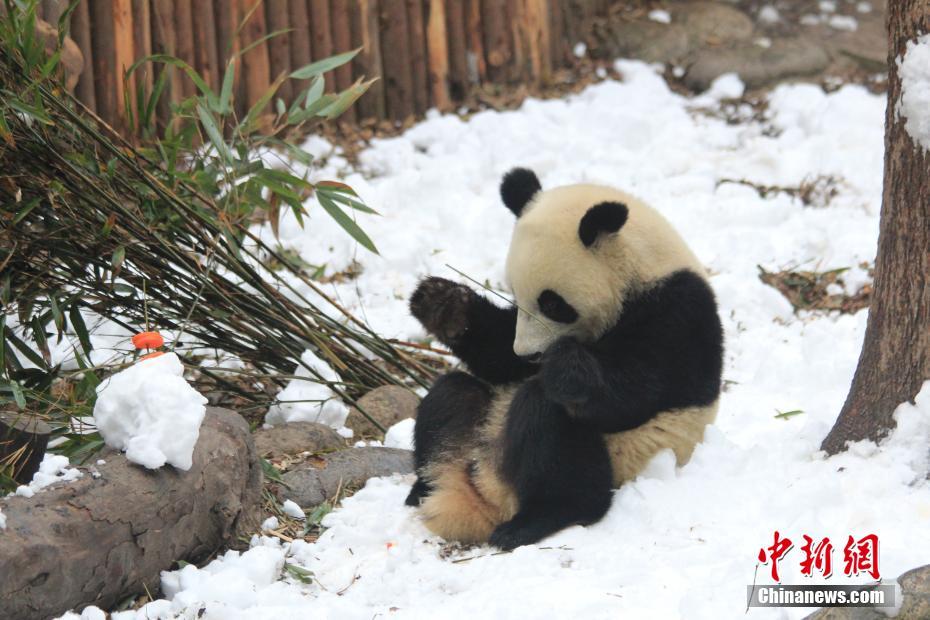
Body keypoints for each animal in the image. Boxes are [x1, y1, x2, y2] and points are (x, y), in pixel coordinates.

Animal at [404, 167, 716, 548]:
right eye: (515, 294)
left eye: (553, 303)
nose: (531, 355)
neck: (641, 266)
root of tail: (491, 495)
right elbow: (500, 357)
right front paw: (445, 305)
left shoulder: (678, 313)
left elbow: (635, 391)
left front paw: (566, 367)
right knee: (452, 395)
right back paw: (423, 486)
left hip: (619, 458)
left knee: (552, 426)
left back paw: (538, 518)